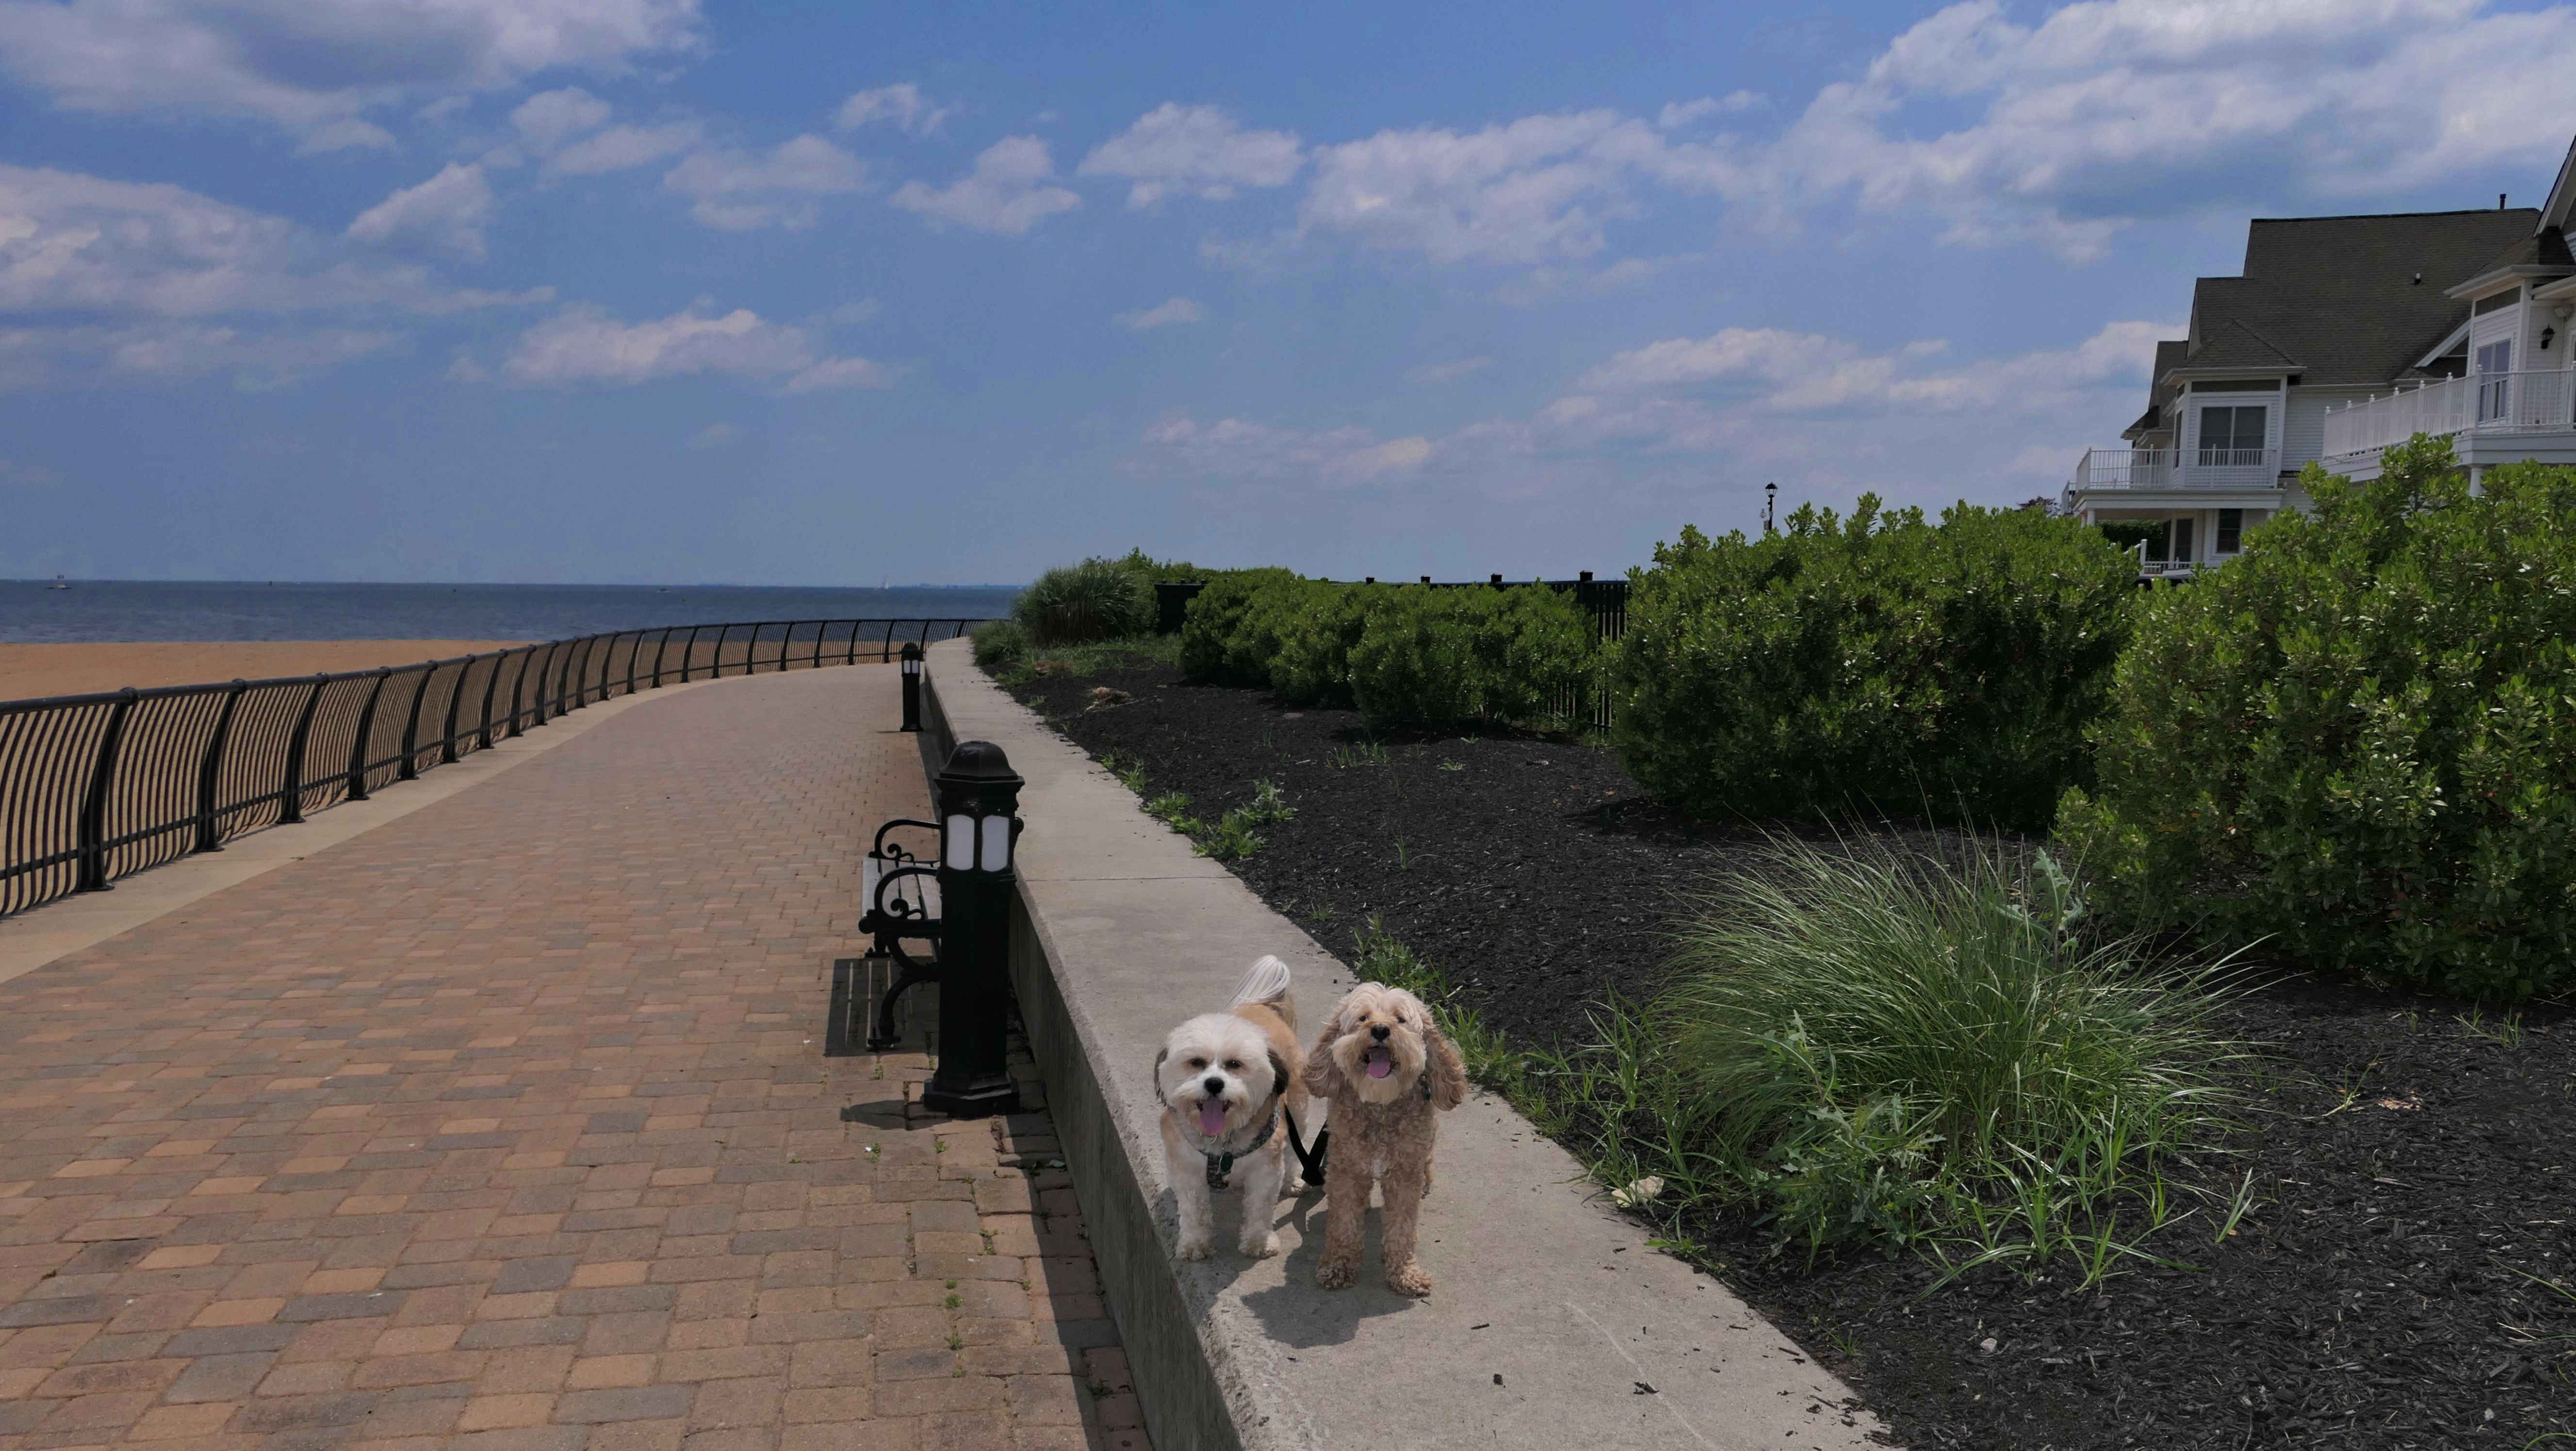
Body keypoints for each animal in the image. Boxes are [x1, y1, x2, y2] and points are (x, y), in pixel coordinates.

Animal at [1154, 956, 1308, 1260]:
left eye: (1235, 1064)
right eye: (1196, 1062)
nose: (1214, 1083)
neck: (1223, 1139)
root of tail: (1261, 1006)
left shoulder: (1265, 1170)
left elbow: (1260, 1209)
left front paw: (1259, 1242)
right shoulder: (1186, 1171)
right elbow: (1193, 1211)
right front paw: (1195, 1243)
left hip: (1298, 1110)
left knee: (1294, 1154)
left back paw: (1293, 1181)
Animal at [1303, 981, 1466, 1295]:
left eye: (1400, 1019)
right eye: (1363, 1018)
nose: (1380, 1029)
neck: (1380, 1104)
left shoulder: (1404, 1175)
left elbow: (1402, 1229)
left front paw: (1404, 1273)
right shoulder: (1347, 1170)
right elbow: (1344, 1224)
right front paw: (1338, 1266)